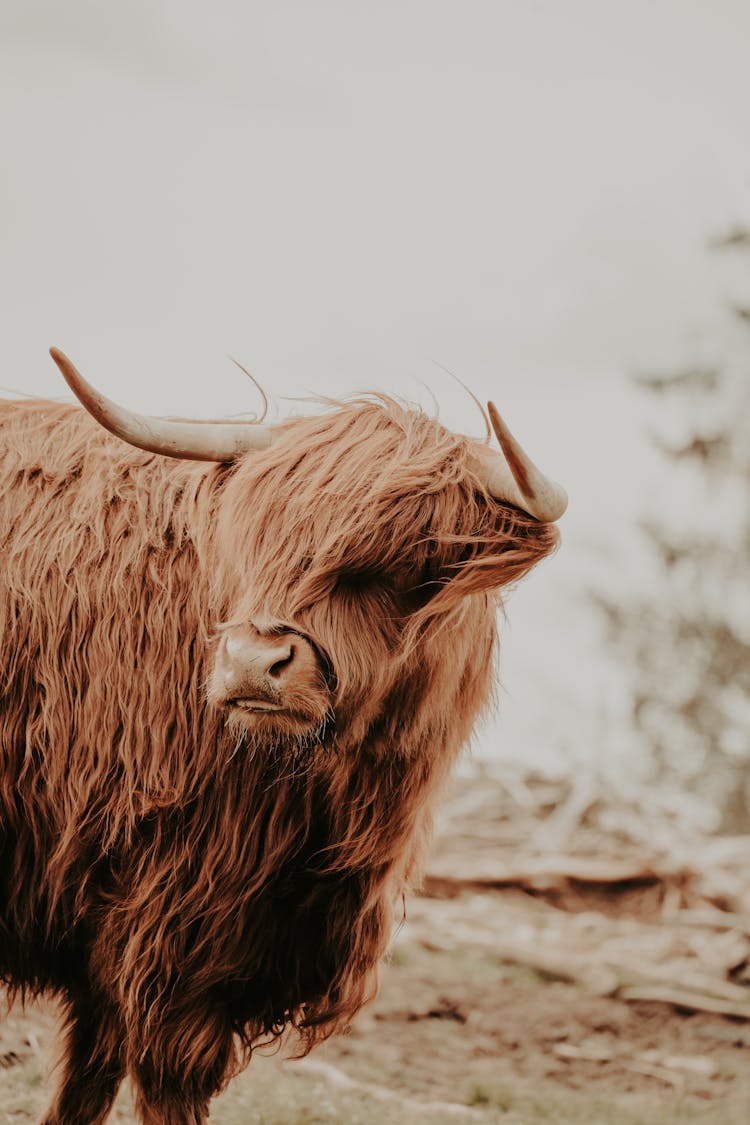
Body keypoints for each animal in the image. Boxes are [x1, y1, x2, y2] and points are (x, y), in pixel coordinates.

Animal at [0, 346, 562, 1120]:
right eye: (257, 541)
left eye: (407, 559)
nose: (249, 662)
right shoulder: (171, 928)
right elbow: (157, 1082)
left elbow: (88, 1082)